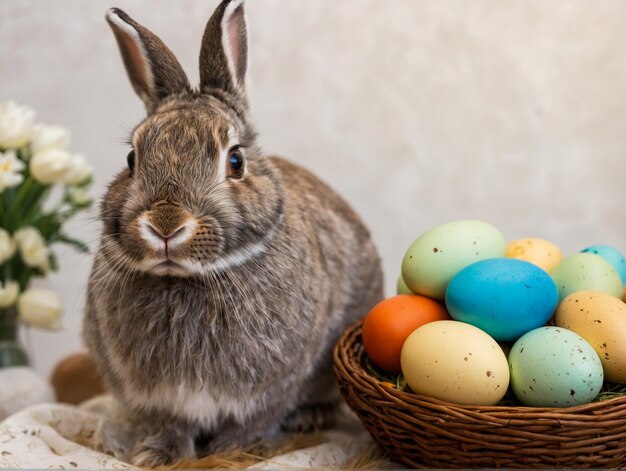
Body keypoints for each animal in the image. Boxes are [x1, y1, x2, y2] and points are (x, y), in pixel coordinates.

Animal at [84, 0, 380, 466]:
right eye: (132, 158)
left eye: (236, 161)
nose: (165, 224)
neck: (186, 279)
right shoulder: (159, 398)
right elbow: (172, 424)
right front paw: (155, 455)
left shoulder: (274, 387)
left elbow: (249, 424)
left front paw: (230, 452)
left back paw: (309, 418)